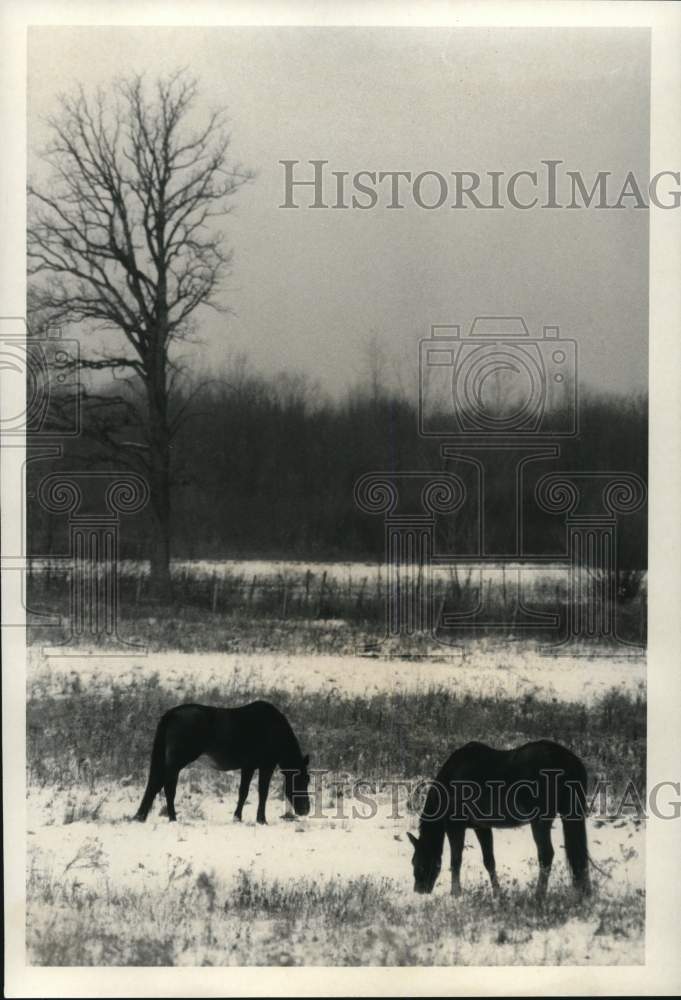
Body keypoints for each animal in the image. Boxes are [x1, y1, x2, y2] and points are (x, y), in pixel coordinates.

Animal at [135, 700, 310, 824]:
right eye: (302, 779)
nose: (306, 810)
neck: (274, 729)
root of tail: (171, 714)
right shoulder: (265, 766)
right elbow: (262, 792)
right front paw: (261, 820)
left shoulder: (248, 767)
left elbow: (243, 792)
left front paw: (237, 818)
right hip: (177, 762)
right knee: (164, 786)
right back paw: (170, 818)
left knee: (158, 785)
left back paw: (144, 817)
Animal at [410, 740, 588, 904]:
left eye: (417, 862)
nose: (419, 890)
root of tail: (568, 760)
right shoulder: (482, 827)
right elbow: (489, 861)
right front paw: (497, 894)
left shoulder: (455, 826)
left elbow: (456, 860)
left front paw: (456, 894)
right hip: (569, 814)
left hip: (540, 820)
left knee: (546, 854)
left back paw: (539, 896)